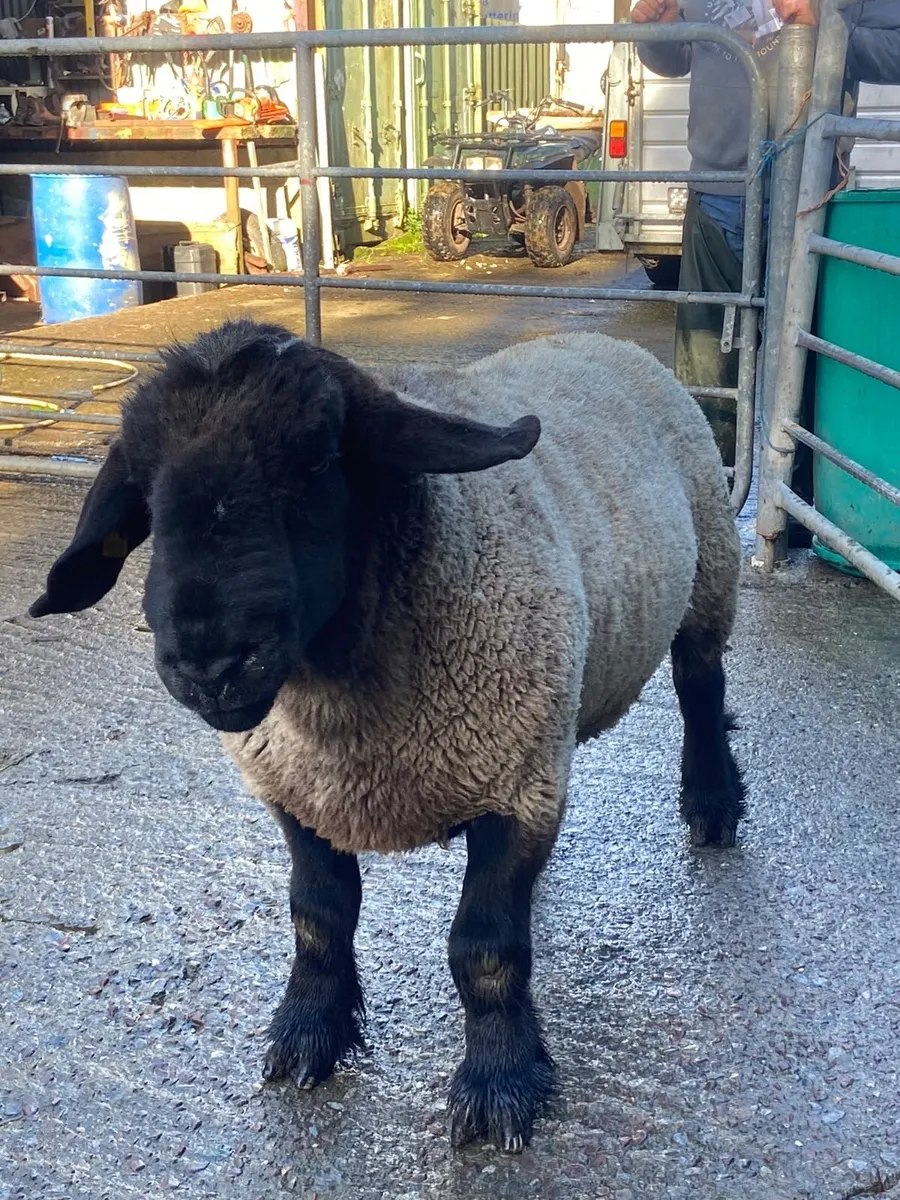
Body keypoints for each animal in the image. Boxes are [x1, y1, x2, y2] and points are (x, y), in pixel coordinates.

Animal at [30, 318, 746, 1153]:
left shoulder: (513, 786)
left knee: (701, 687)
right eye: (143, 488)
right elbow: (317, 915)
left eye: (316, 462)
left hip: (710, 569)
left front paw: (500, 1084)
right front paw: (307, 1034)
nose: (209, 663)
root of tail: (594, 338)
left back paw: (713, 804)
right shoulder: (300, 792)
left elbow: (485, 950)